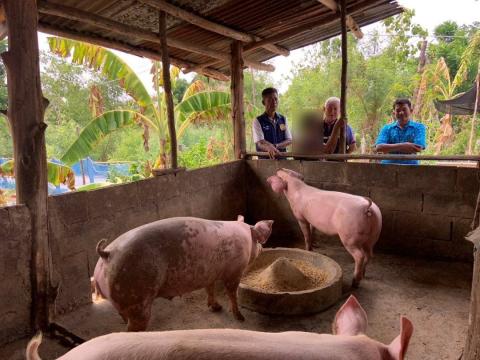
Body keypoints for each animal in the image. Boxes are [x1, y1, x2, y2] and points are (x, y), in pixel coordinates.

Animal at [92, 215, 272, 330]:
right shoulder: (234, 271)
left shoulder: (210, 273)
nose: (263, 249)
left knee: (122, 315)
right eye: (258, 241)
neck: (246, 239)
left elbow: (210, 288)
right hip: (137, 295)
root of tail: (107, 253)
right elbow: (232, 294)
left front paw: (216, 308)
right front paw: (240, 317)